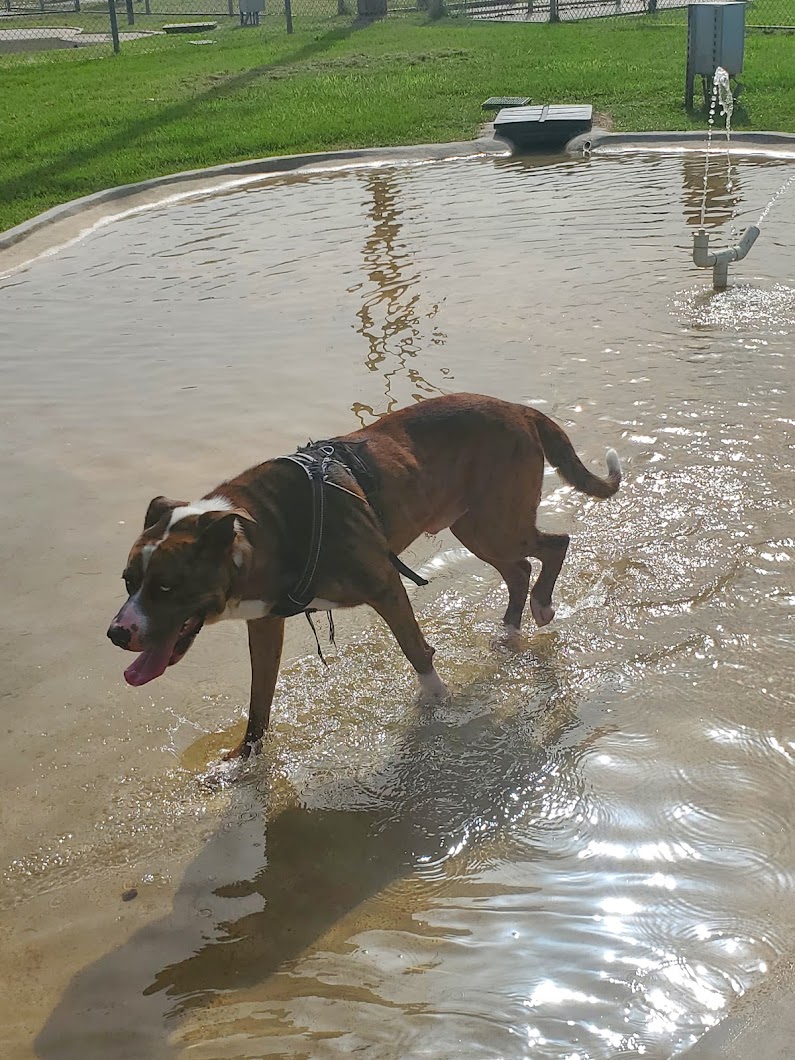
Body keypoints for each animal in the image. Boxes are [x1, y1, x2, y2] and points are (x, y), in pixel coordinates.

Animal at [107, 396, 623, 754]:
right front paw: (243, 762)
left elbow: (415, 649)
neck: (267, 526)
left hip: (495, 522)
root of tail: (519, 409)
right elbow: (259, 699)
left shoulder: (385, 586)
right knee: (519, 569)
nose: (117, 633)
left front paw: (436, 701)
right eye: (129, 582)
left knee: (555, 546)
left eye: (166, 587)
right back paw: (511, 630)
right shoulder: (265, 624)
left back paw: (541, 607)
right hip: (475, 526)